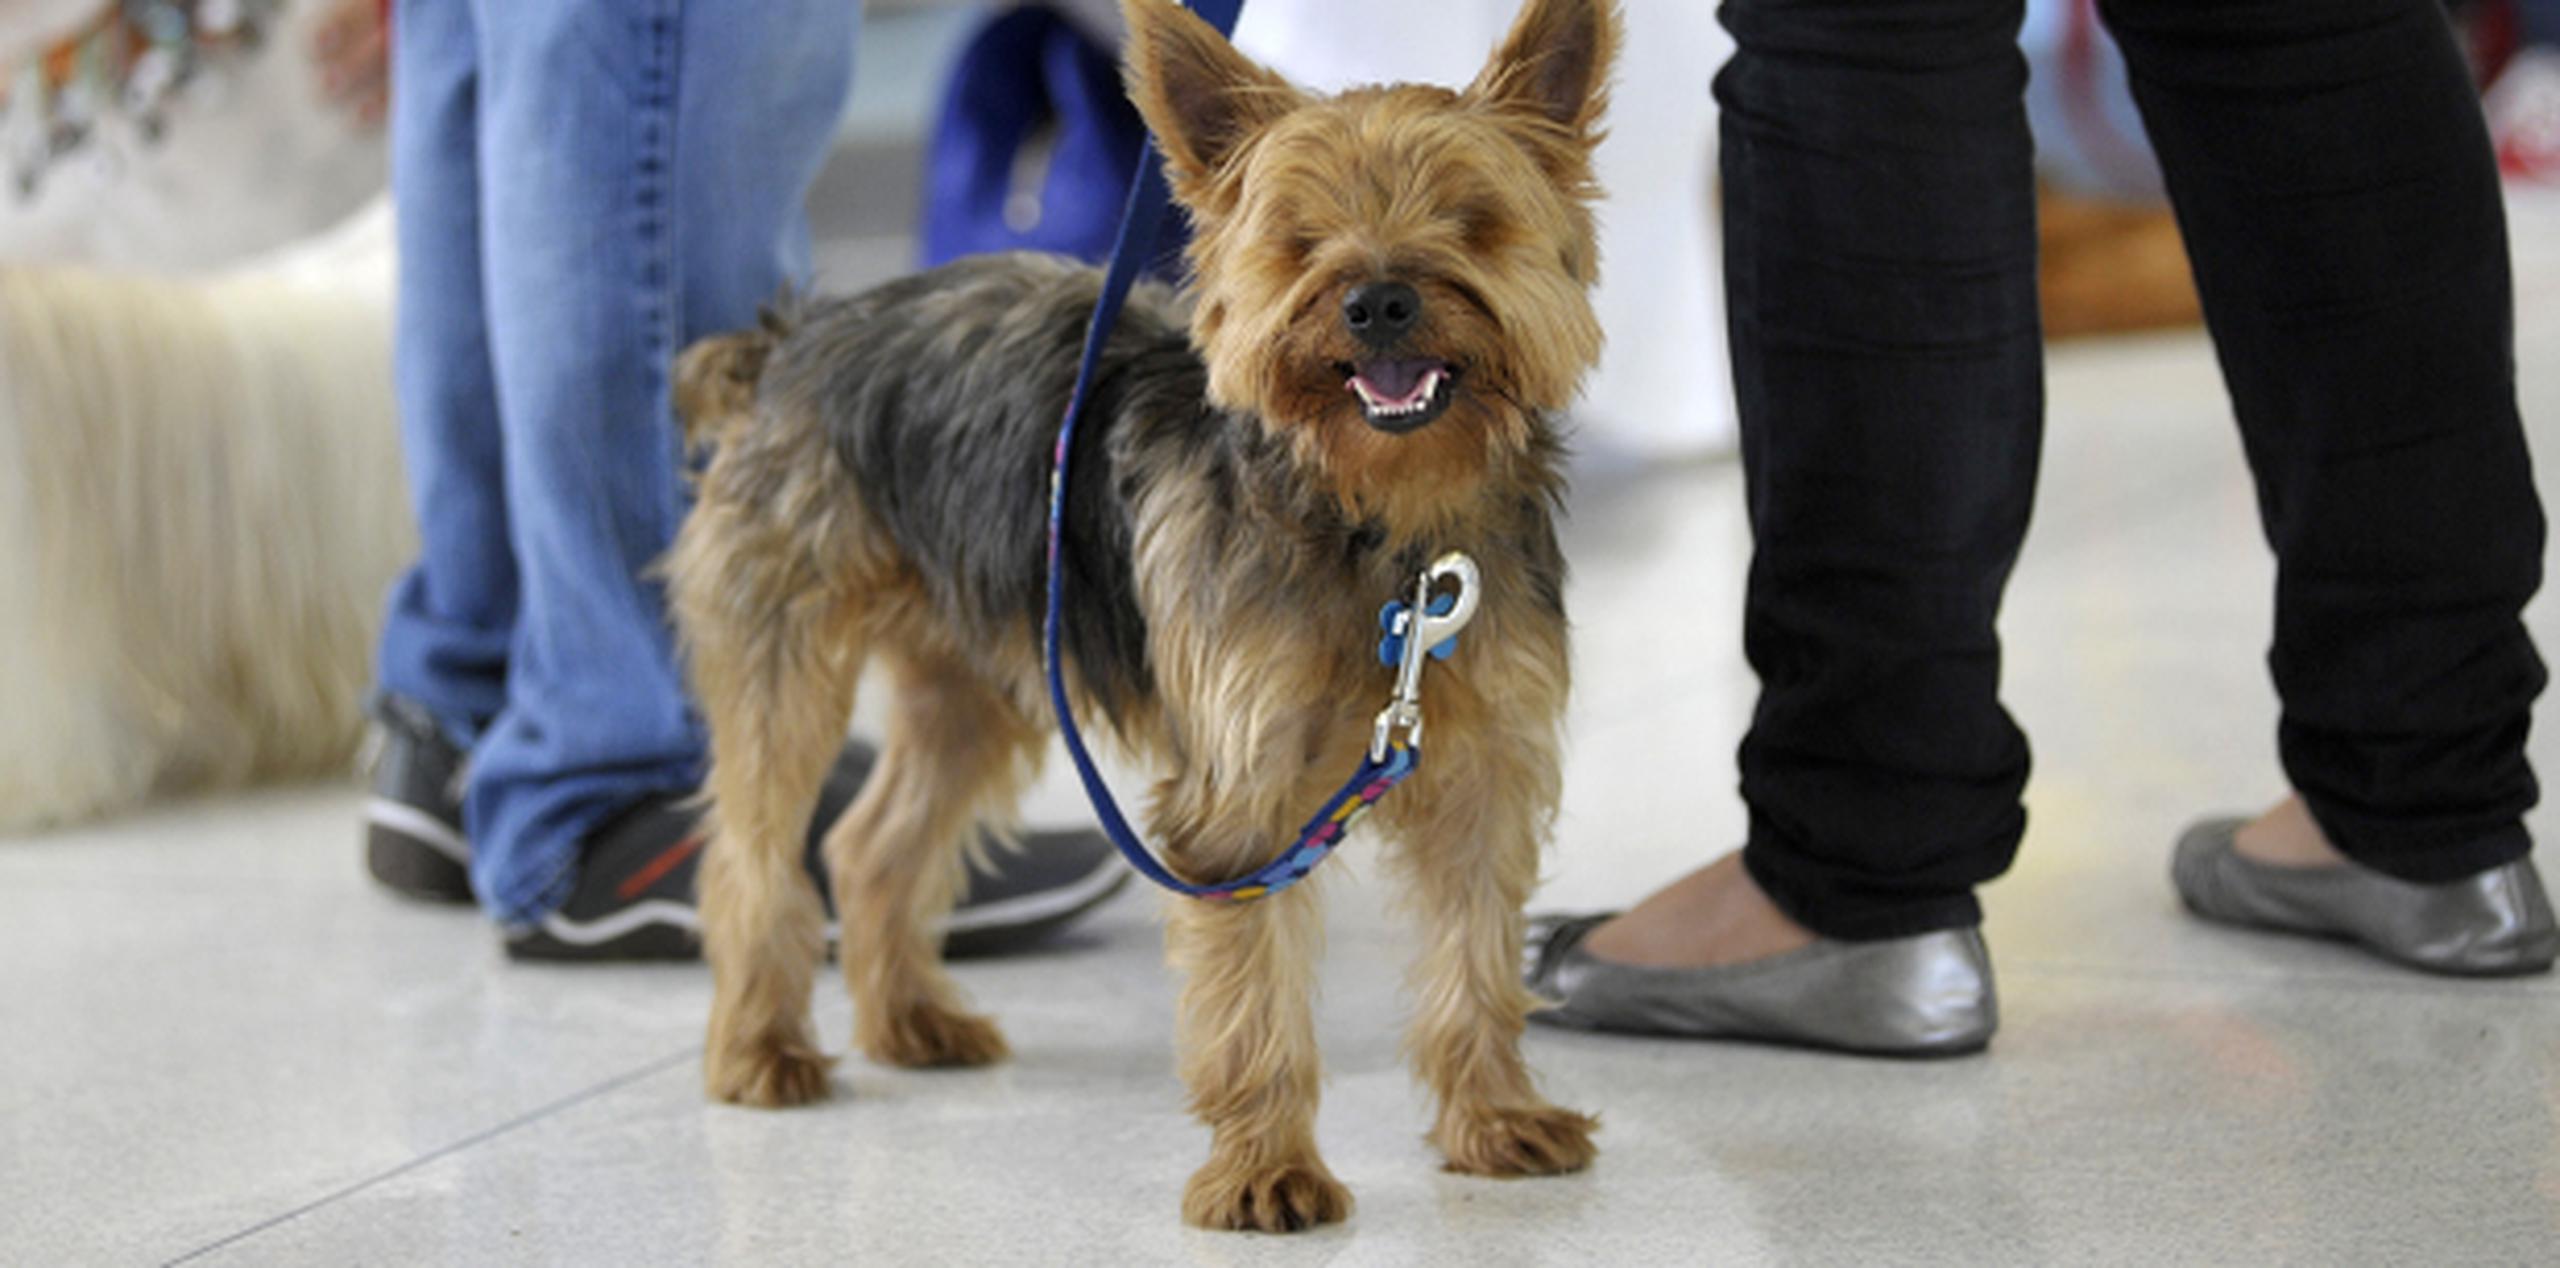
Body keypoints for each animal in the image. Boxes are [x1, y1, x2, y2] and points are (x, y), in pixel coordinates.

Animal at [670, 0, 1607, 1234]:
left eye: (1473, 220)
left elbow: (1477, 960)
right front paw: (1266, 1170)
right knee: (751, 854)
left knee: (870, 846)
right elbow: (1253, 995)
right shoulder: (1242, 806)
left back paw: (910, 1021)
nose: (1379, 299)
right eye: (1298, 240)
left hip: (976, 676)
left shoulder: (1483, 777)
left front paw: (1495, 1117)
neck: (1384, 526)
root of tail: (789, 344)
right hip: (787, 659)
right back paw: (759, 1047)